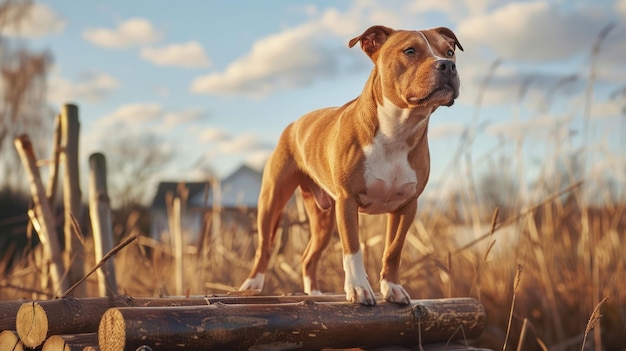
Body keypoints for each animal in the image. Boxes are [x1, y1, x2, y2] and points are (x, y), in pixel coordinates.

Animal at [238, 24, 458, 306]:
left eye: (450, 52)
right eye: (410, 51)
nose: (447, 65)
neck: (398, 129)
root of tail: (296, 123)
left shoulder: (407, 205)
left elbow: (393, 249)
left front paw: (392, 288)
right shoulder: (348, 201)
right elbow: (353, 248)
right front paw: (359, 289)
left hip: (324, 218)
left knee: (308, 257)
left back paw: (314, 294)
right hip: (271, 201)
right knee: (264, 247)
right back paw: (252, 285)